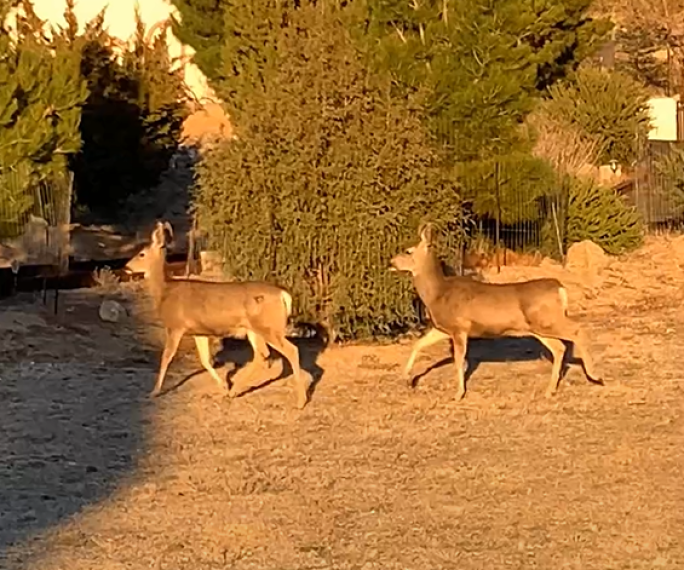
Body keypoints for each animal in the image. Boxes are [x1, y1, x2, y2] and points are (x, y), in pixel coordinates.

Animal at [124, 219, 312, 408]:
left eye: (141, 254)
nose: (126, 267)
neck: (165, 292)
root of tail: (283, 294)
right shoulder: (199, 332)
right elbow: (205, 360)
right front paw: (223, 386)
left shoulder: (175, 326)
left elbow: (166, 357)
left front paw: (154, 391)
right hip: (254, 329)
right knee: (262, 355)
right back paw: (234, 391)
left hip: (268, 327)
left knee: (291, 351)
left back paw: (300, 401)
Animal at [390, 224, 604, 398]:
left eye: (408, 251)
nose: (391, 262)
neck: (438, 293)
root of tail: (559, 287)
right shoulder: (443, 328)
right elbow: (418, 344)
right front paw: (406, 378)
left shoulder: (460, 327)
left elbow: (459, 360)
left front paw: (458, 393)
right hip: (539, 327)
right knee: (559, 347)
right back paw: (550, 390)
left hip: (547, 320)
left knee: (577, 330)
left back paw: (594, 375)